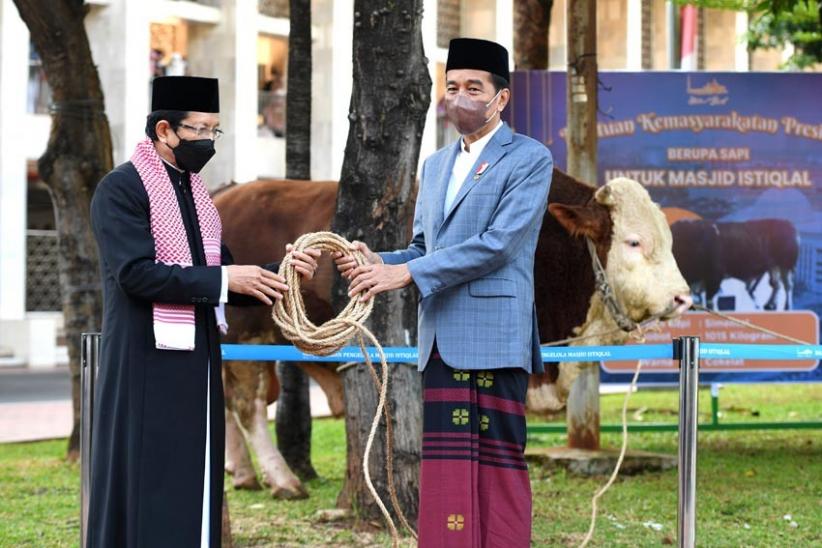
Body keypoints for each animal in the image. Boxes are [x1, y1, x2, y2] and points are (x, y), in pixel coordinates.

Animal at [214, 169, 696, 498]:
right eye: (633, 241)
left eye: (669, 239)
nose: (682, 297)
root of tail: (227, 194)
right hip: (246, 337)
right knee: (247, 406)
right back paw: (282, 479)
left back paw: (244, 473)